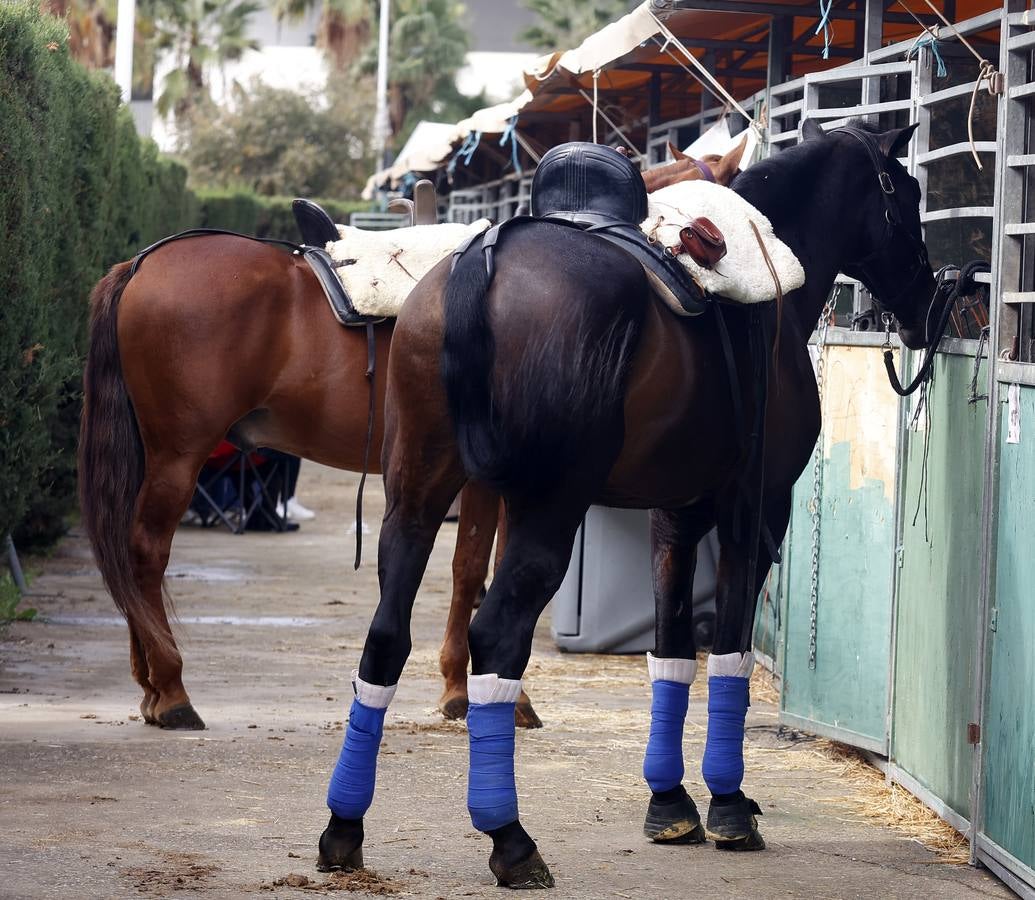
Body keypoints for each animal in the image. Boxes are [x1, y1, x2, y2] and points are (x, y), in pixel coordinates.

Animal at [76, 142, 747, 732]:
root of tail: (142, 264)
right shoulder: (494, 483)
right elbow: (475, 571)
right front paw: (483, 693)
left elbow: (472, 568)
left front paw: (465, 687)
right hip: (179, 455)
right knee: (144, 552)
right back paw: (171, 689)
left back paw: (150, 684)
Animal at [315, 120, 939, 888]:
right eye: (907, 194)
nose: (930, 302)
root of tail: (481, 266)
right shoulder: (755, 512)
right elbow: (726, 653)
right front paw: (728, 805)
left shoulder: (675, 517)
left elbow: (670, 653)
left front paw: (669, 803)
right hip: (546, 508)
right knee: (495, 635)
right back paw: (509, 838)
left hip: (416, 497)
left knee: (385, 637)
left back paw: (344, 826)